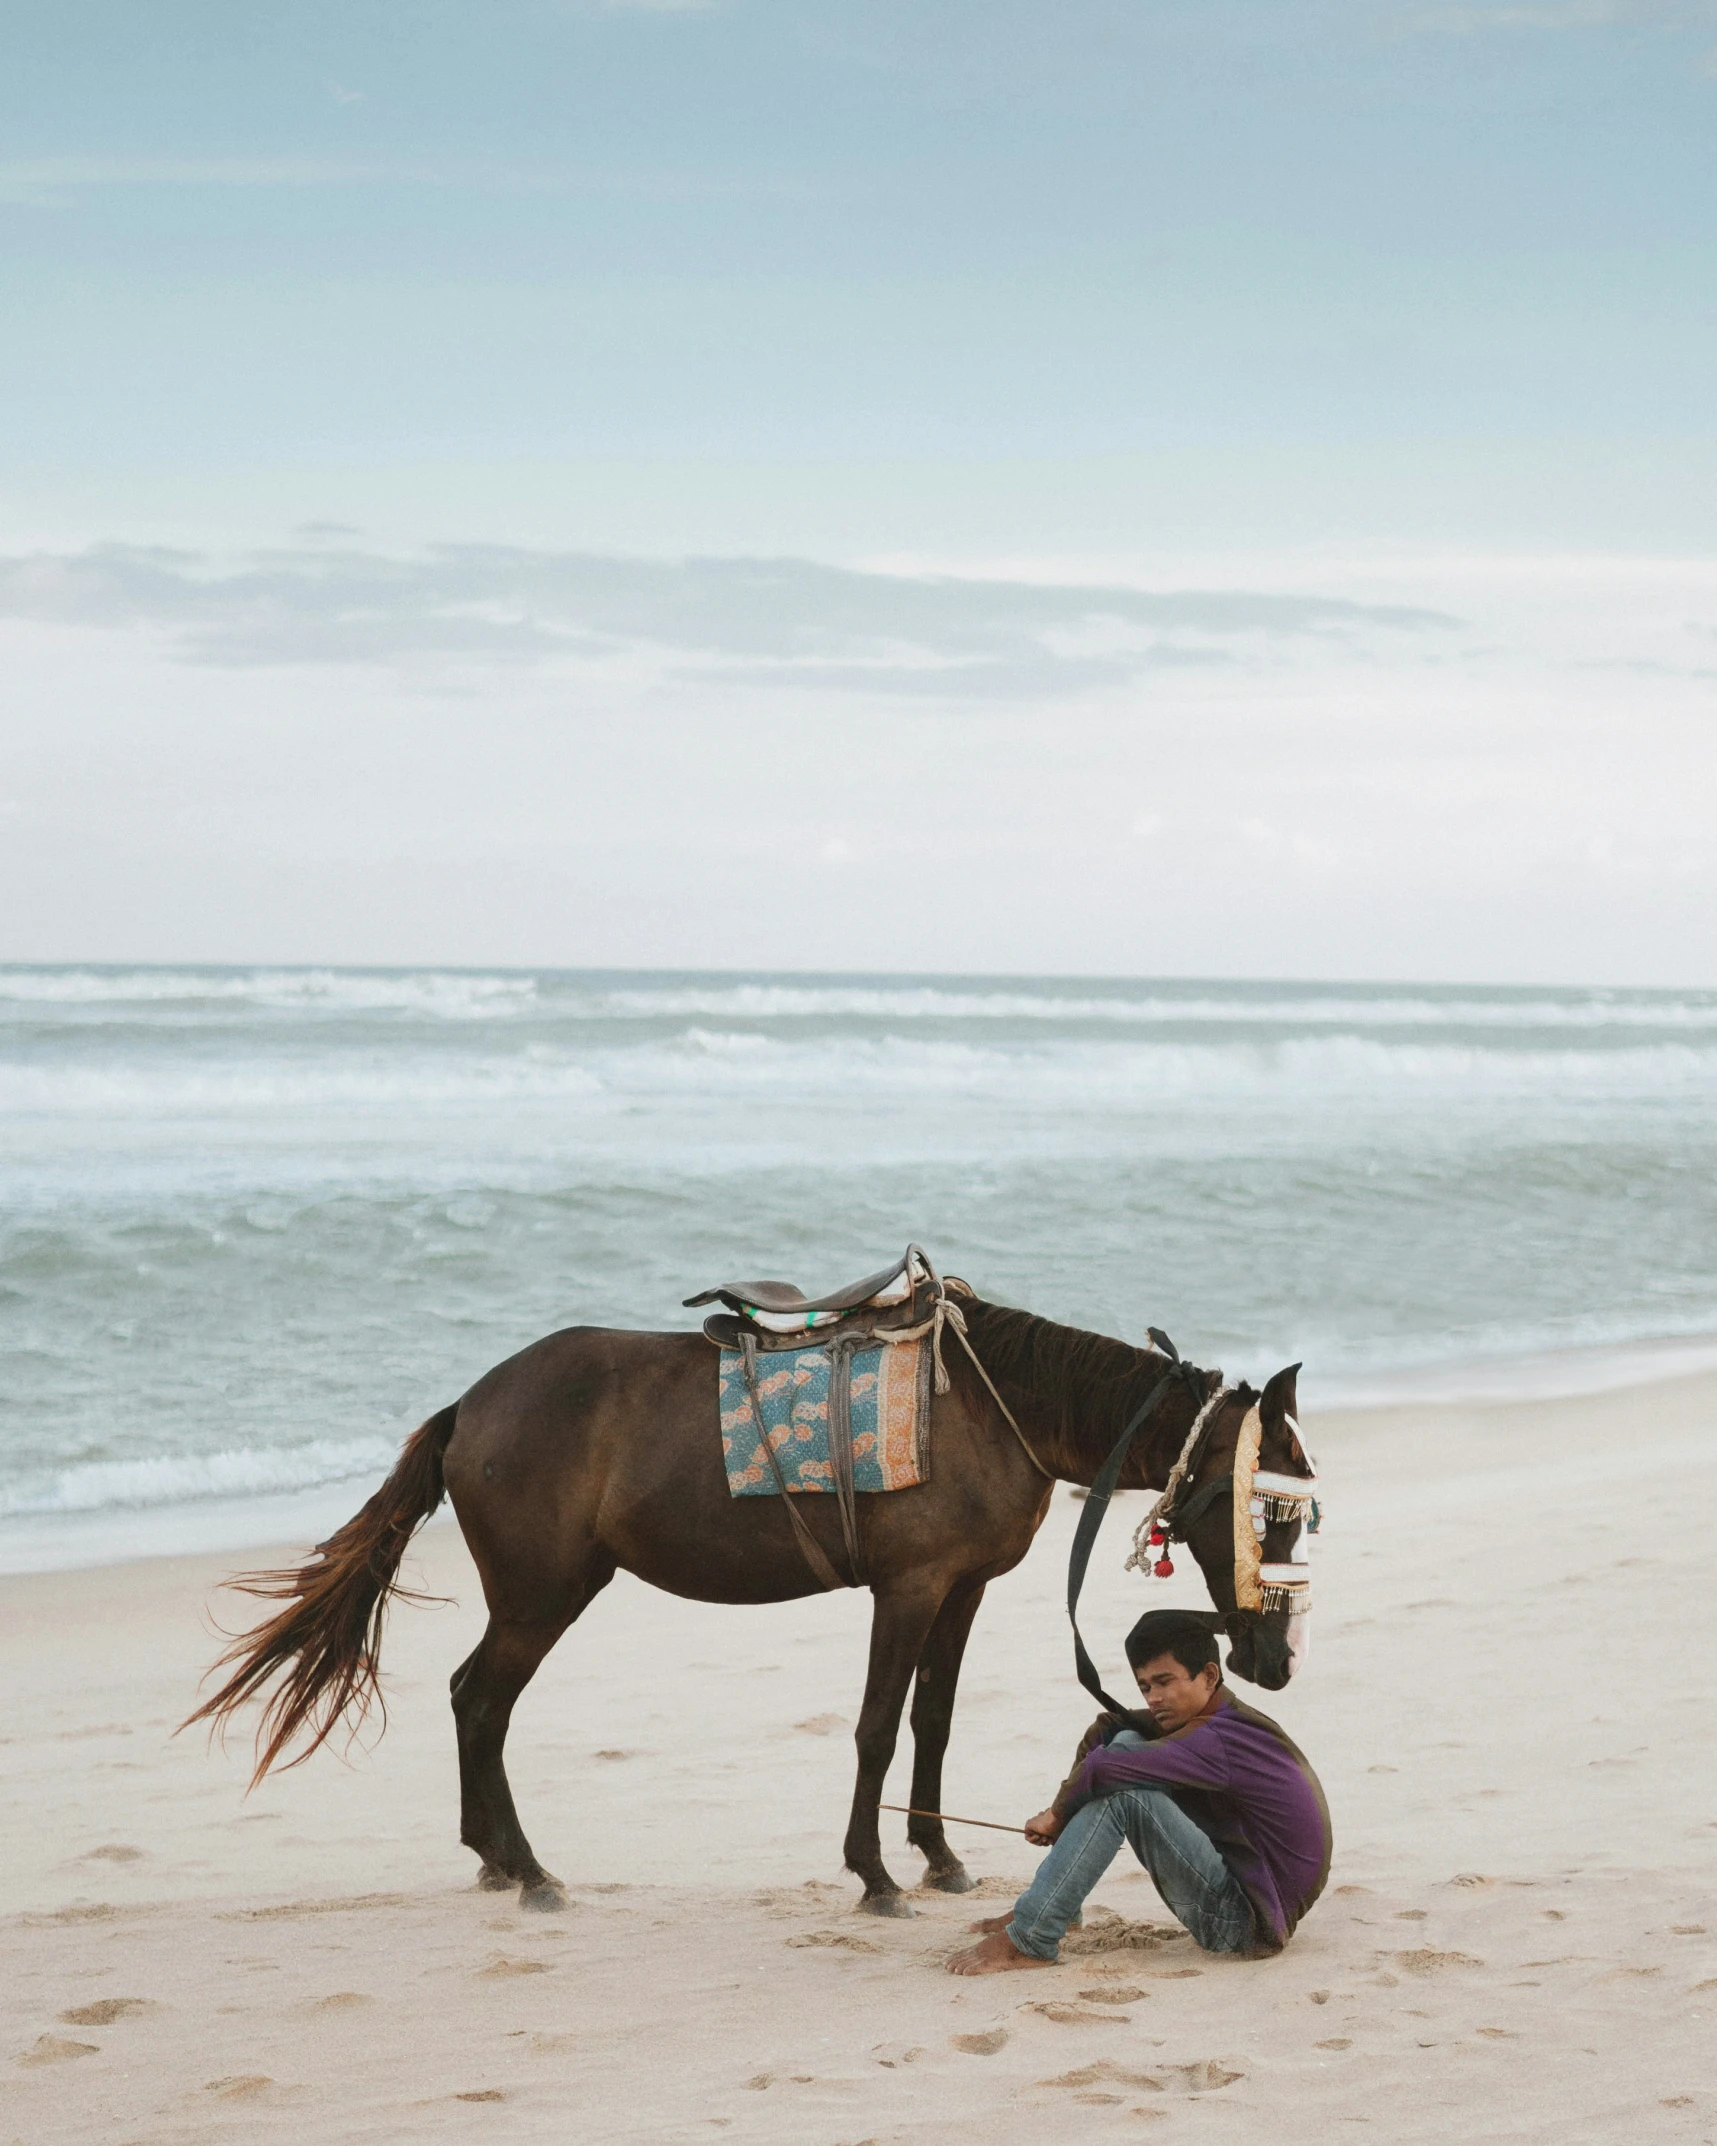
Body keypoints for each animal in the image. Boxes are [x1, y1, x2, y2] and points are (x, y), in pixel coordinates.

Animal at [187, 1287, 1304, 1914]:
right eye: (1270, 1510)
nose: (1274, 1658)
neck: (993, 1406)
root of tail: (472, 1404)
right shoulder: (907, 1589)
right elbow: (876, 1727)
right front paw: (873, 1874)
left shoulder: (962, 1589)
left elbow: (932, 1723)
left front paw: (937, 1856)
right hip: (542, 1596)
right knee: (480, 1702)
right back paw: (530, 1869)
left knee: (476, 1701)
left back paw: (501, 1862)